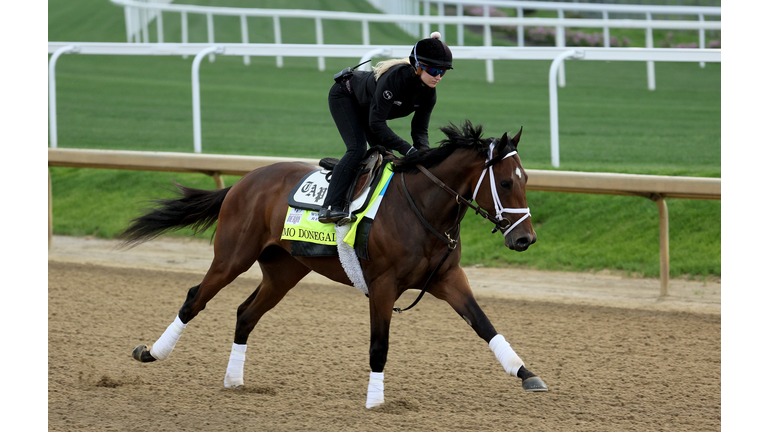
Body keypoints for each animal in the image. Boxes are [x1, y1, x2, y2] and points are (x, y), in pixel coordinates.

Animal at [121, 120, 544, 406]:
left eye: (526, 179)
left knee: (246, 312)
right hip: (232, 257)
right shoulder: (383, 285)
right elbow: (379, 344)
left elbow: (485, 325)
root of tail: (244, 181)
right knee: (196, 298)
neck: (422, 208)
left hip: (284, 270)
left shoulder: (447, 278)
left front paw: (527, 373)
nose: (525, 239)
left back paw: (234, 380)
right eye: (506, 183)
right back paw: (153, 352)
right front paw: (376, 400)